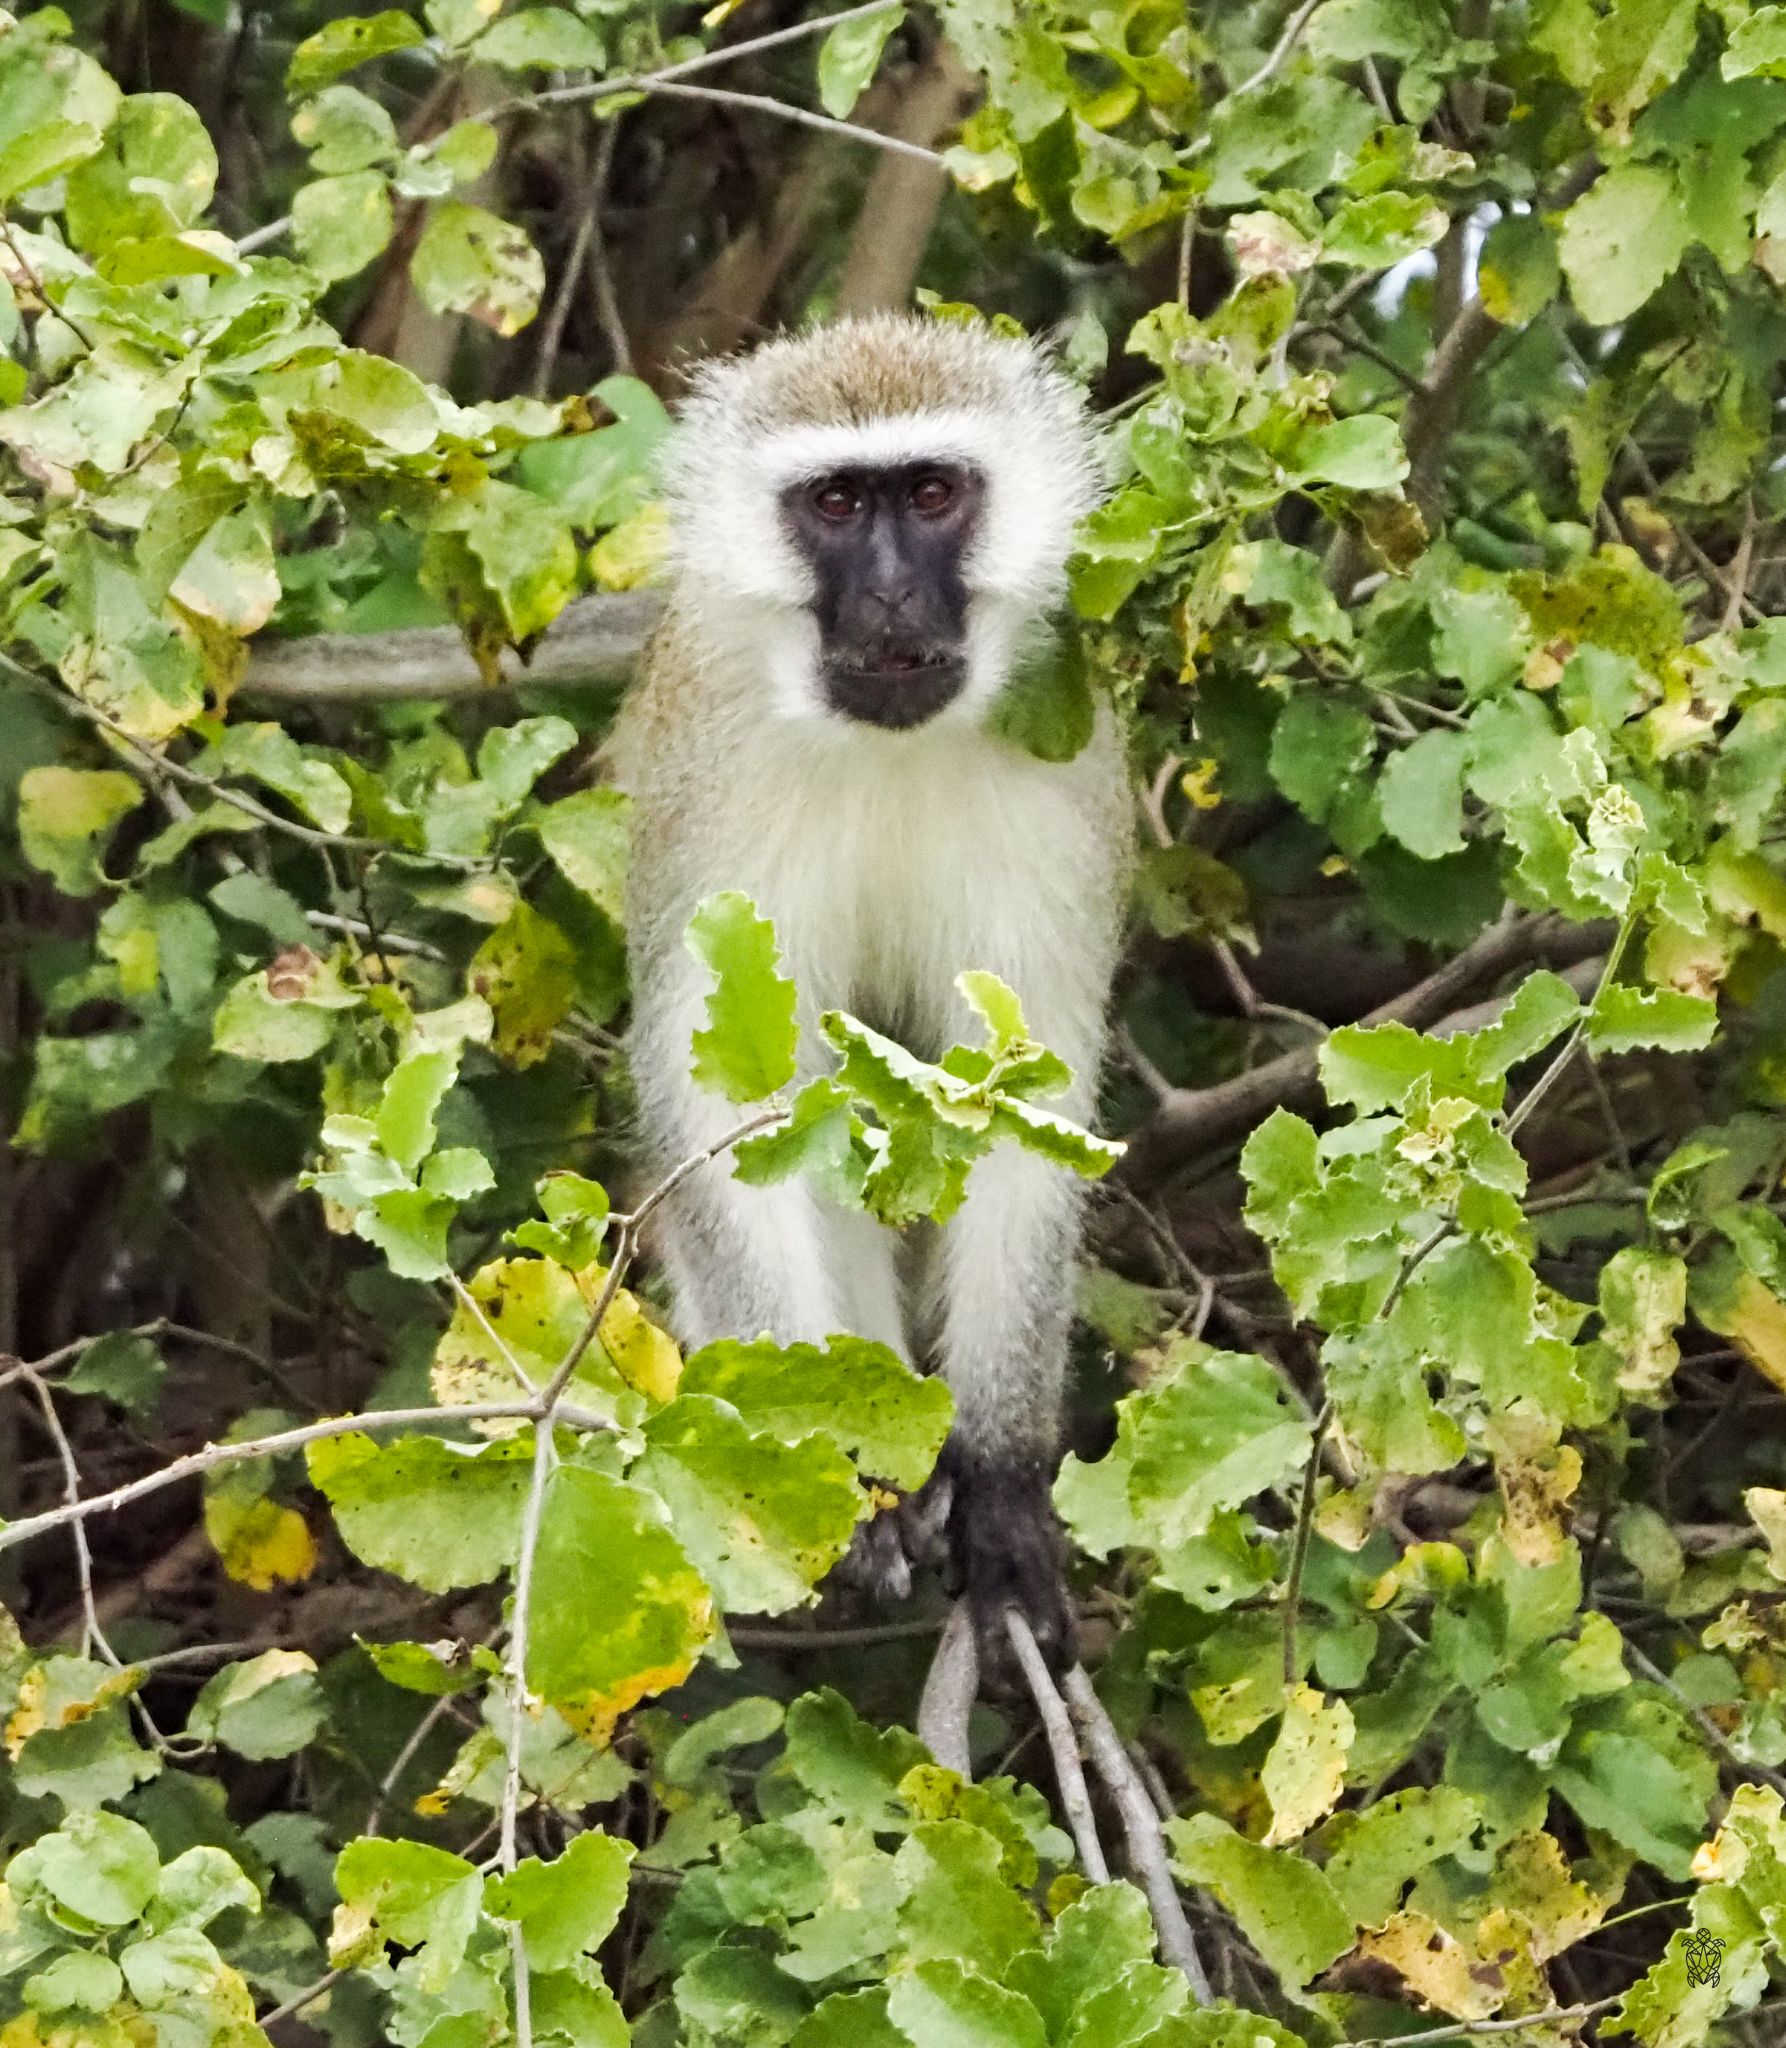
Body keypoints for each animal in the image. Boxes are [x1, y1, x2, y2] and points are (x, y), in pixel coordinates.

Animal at [610, 313, 1132, 1674]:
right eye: (838, 503)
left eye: (934, 494)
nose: (893, 590)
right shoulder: (708, 783)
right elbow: (729, 1112)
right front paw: (833, 1462)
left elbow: (1029, 1100)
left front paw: (1001, 1488)